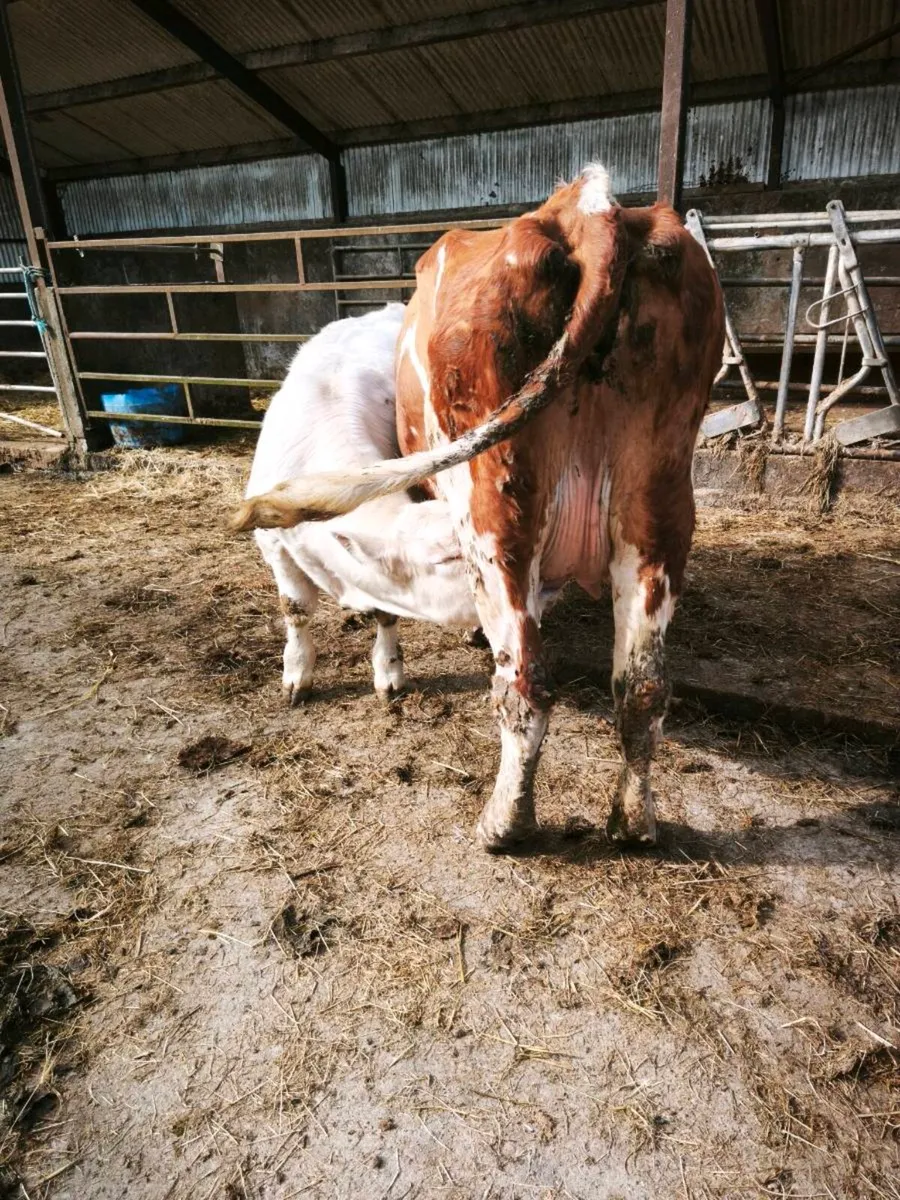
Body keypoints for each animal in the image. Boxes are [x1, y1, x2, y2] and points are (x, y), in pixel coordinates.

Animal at [244, 302, 477, 704]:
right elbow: (295, 610)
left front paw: (389, 672)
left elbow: (386, 613)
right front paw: (296, 673)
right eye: (446, 557)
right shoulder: (272, 543)